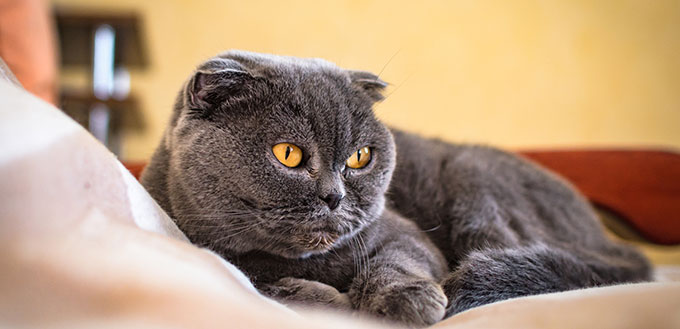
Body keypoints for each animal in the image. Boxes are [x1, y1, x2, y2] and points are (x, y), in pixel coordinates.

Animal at [139, 50, 652, 326]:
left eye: (359, 158)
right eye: (288, 154)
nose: (334, 196)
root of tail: (609, 241)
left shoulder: (406, 234)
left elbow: (397, 261)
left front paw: (405, 300)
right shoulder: (215, 255)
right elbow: (257, 284)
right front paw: (329, 302)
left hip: (474, 185)